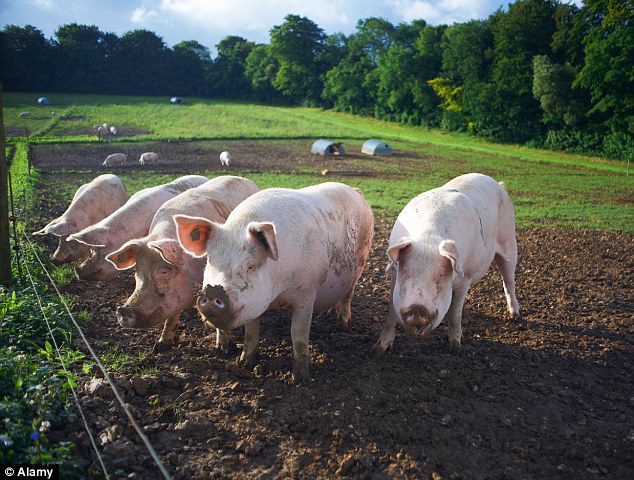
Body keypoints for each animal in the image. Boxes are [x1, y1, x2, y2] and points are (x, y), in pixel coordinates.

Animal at [105, 176, 258, 352]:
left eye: (164, 271)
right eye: (137, 270)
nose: (124, 310)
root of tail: (244, 179)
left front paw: (223, 350)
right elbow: (171, 316)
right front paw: (161, 345)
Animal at [170, 182, 372, 384]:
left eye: (251, 266)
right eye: (210, 261)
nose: (214, 292)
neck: (278, 293)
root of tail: (355, 191)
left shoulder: (307, 292)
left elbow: (298, 334)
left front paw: (301, 379)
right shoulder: (254, 302)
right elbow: (251, 332)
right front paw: (244, 364)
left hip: (361, 260)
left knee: (349, 293)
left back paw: (342, 323)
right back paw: (331, 314)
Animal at [370, 172, 520, 352]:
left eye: (440, 276)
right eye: (405, 271)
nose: (417, 308)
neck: (427, 240)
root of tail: (497, 184)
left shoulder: (466, 276)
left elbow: (455, 313)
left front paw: (455, 347)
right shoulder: (393, 273)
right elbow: (392, 311)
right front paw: (379, 349)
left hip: (509, 240)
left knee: (509, 281)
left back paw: (514, 315)